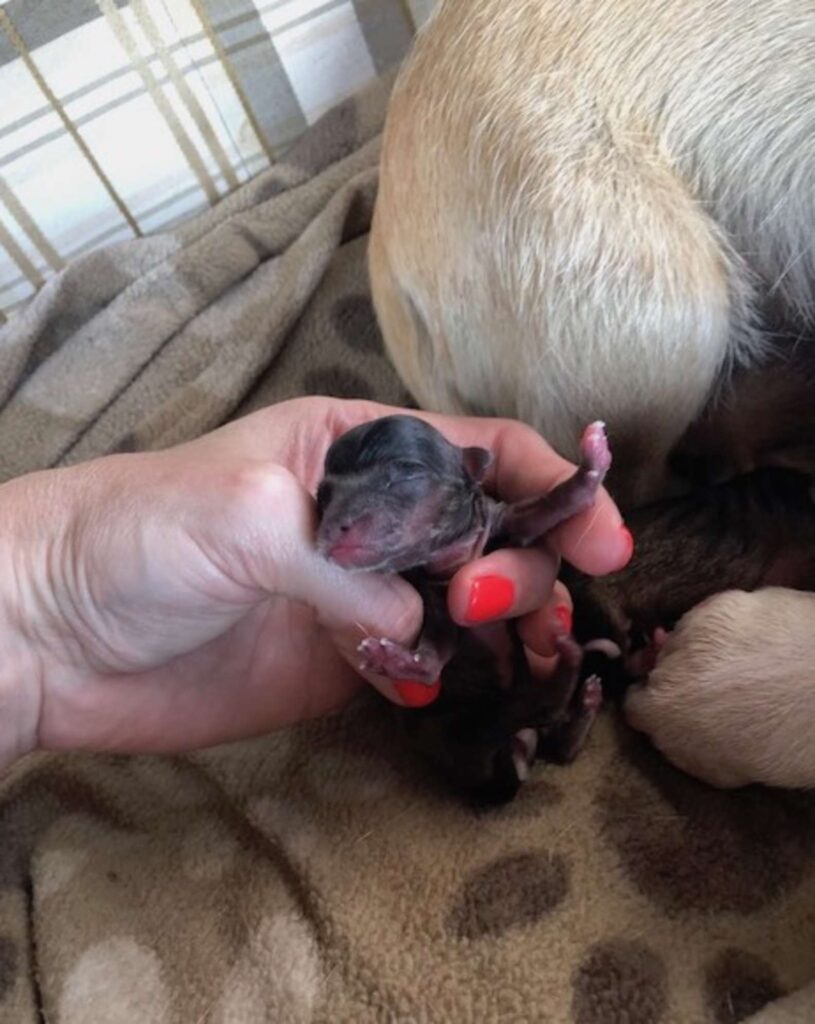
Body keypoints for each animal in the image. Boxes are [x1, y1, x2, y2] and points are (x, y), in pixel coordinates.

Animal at [317, 411, 610, 802]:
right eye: (322, 495)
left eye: (408, 471)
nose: (333, 527)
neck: (446, 559)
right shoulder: (434, 600)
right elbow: (434, 659)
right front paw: (399, 660)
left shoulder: (503, 524)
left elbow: (544, 510)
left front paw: (590, 465)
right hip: (461, 729)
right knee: (534, 712)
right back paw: (570, 670)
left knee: (556, 745)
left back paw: (584, 701)